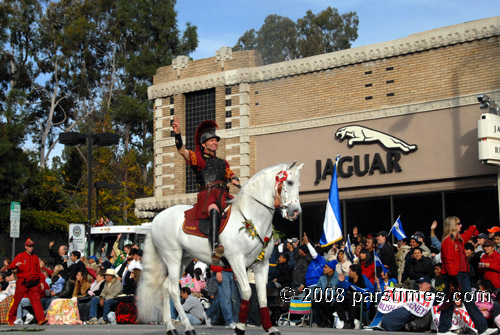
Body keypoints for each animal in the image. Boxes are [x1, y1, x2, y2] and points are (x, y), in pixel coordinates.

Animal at [137, 161, 300, 334]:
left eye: (299, 184)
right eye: (289, 182)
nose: (295, 211)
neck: (252, 219)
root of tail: (156, 219)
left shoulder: (261, 265)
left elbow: (261, 297)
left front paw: (269, 328)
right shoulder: (237, 261)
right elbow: (247, 292)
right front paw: (240, 327)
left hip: (183, 258)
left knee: (166, 287)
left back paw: (171, 327)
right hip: (172, 257)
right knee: (174, 290)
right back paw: (188, 327)